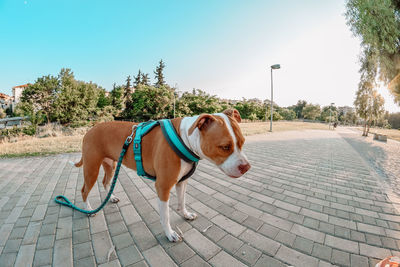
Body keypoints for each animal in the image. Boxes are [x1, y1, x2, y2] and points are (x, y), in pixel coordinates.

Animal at [73, 109, 250, 243]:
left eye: (242, 142)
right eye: (225, 147)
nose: (246, 167)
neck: (184, 138)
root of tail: (89, 130)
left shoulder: (182, 182)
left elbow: (182, 201)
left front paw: (185, 214)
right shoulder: (163, 187)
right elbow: (165, 216)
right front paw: (170, 234)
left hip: (111, 164)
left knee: (105, 182)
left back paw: (111, 197)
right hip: (91, 168)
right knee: (84, 190)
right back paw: (89, 210)